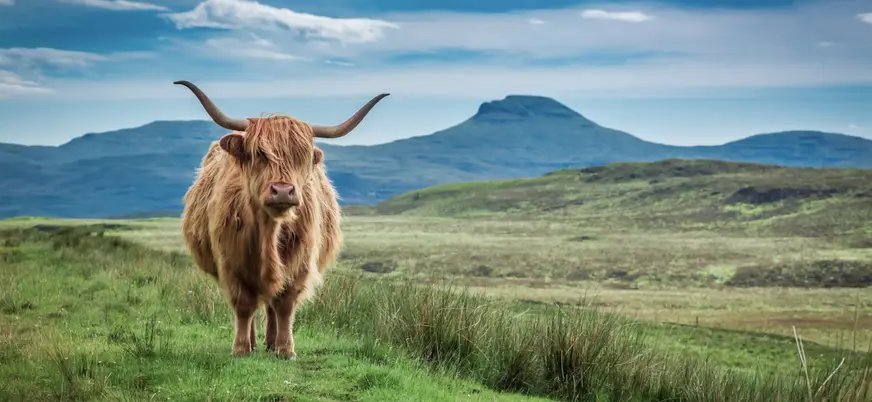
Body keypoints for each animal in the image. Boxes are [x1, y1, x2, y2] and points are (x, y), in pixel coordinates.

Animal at [175, 80, 389, 359]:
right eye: (259, 154)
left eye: (302, 156)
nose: (283, 191)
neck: (269, 231)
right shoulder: (231, 262)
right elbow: (243, 305)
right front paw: (241, 348)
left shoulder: (300, 263)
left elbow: (285, 304)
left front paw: (286, 349)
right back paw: (254, 342)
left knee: (271, 305)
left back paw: (270, 342)